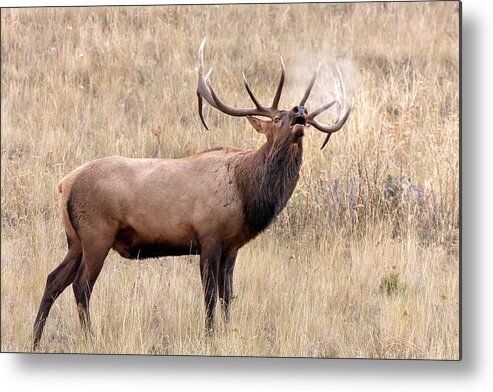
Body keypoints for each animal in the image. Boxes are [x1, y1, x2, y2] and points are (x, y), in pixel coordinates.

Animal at [32, 38, 352, 348]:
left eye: (302, 117)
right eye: (276, 118)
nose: (301, 111)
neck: (246, 192)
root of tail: (65, 184)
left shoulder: (232, 247)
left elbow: (227, 296)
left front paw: (226, 332)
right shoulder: (208, 236)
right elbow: (209, 295)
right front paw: (209, 337)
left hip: (75, 240)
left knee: (53, 280)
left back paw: (35, 338)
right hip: (97, 233)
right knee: (81, 285)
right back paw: (89, 337)